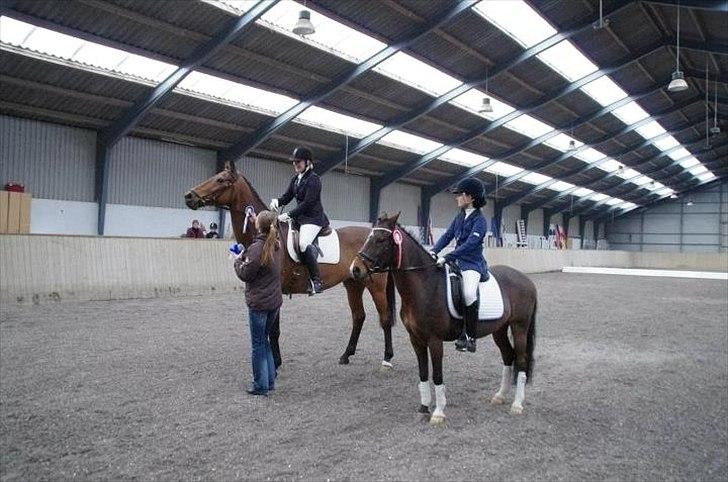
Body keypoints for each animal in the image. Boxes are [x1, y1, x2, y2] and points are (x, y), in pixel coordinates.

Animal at [185, 162, 396, 370]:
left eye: (221, 180)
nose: (189, 196)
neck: (268, 237)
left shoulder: (275, 289)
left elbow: (274, 329)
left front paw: (276, 362)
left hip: (376, 286)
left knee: (385, 318)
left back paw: (387, 358)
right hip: (353, 283)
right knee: (358, 316)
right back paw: (346, 355)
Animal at [350, 213, 536, 424]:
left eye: (381, 240)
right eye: (368, 238)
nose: (355, 269)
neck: (424, 285)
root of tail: (526, 280)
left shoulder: (434, 340)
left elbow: (437, 375)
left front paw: (438, 413)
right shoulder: (416, 339)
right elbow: (423, 373)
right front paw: (423, 408)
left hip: (519, 327)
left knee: (521, 360)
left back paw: (517, 405)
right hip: (499, 330)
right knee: (508, 356)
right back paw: (499, 396)